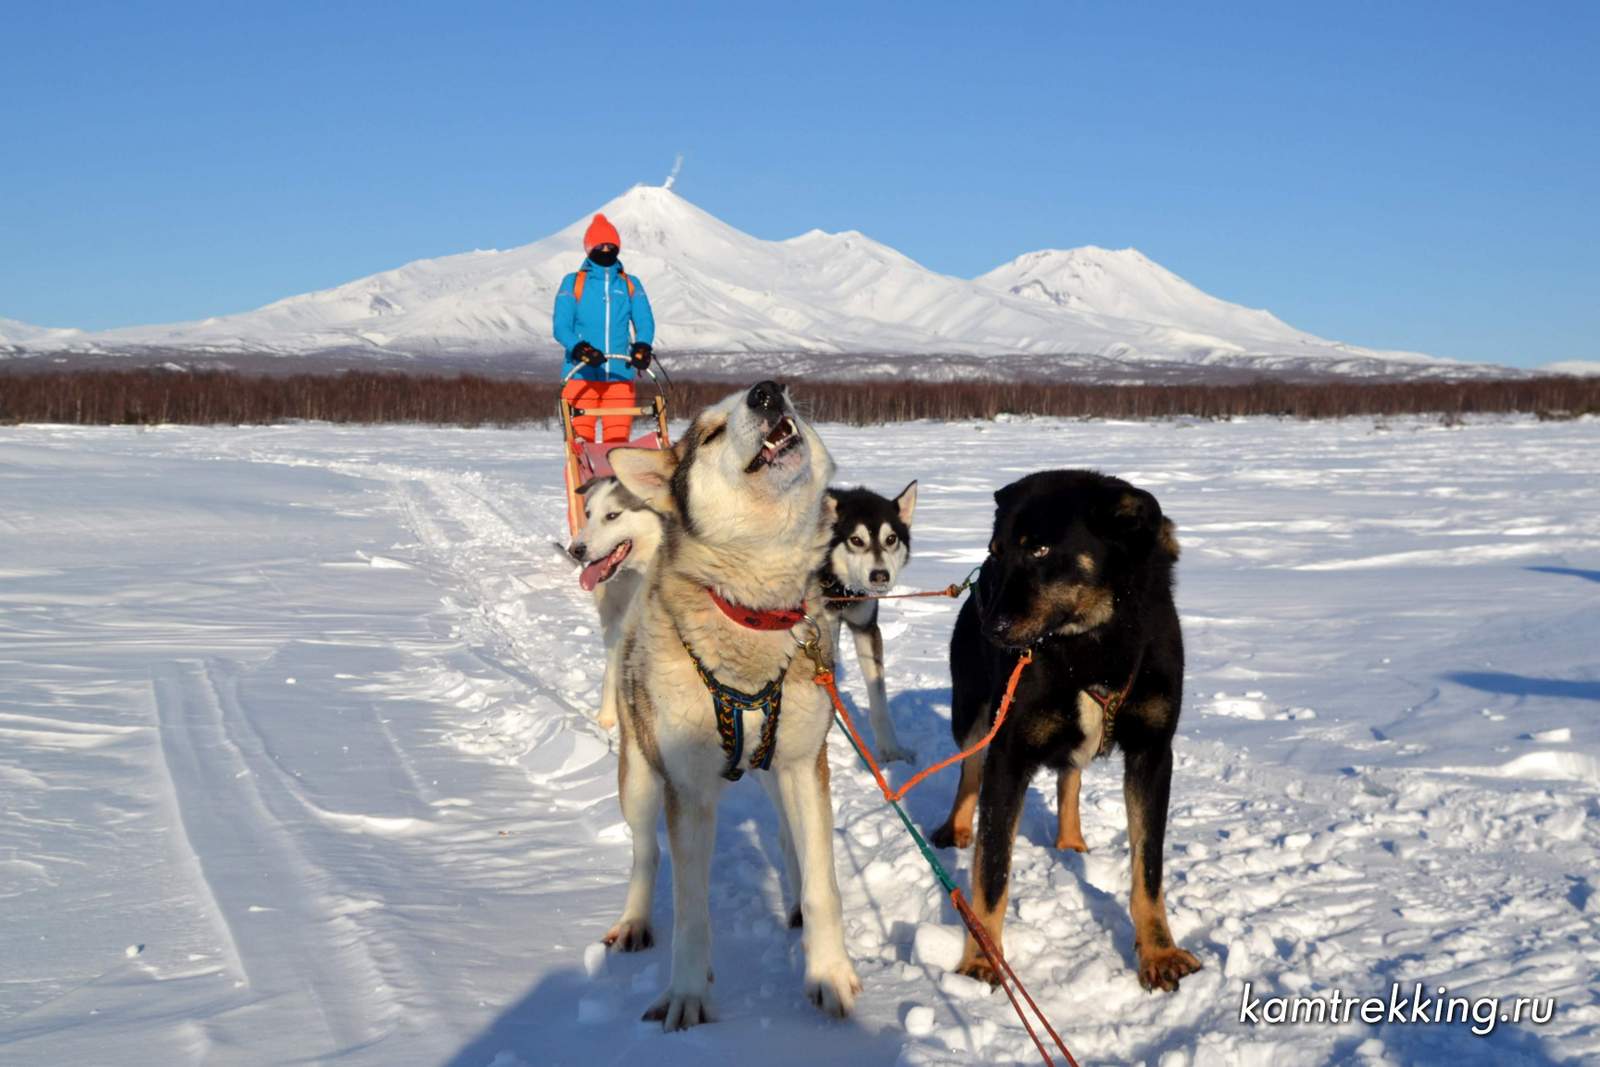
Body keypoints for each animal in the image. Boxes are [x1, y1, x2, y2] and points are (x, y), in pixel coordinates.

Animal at [928, 470, 1203, 998]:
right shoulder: (1008, 755)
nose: (991, 625)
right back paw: (956, 827)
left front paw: (1159, 953)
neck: (1090, 647)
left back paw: (1070, 839)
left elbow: (1148, 870)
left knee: (1069, 775)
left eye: (1039, 549)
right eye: (996, 550)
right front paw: (981, 961)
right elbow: (992, 872)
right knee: (968, 770)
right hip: (972, 713)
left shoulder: (1153, 754)